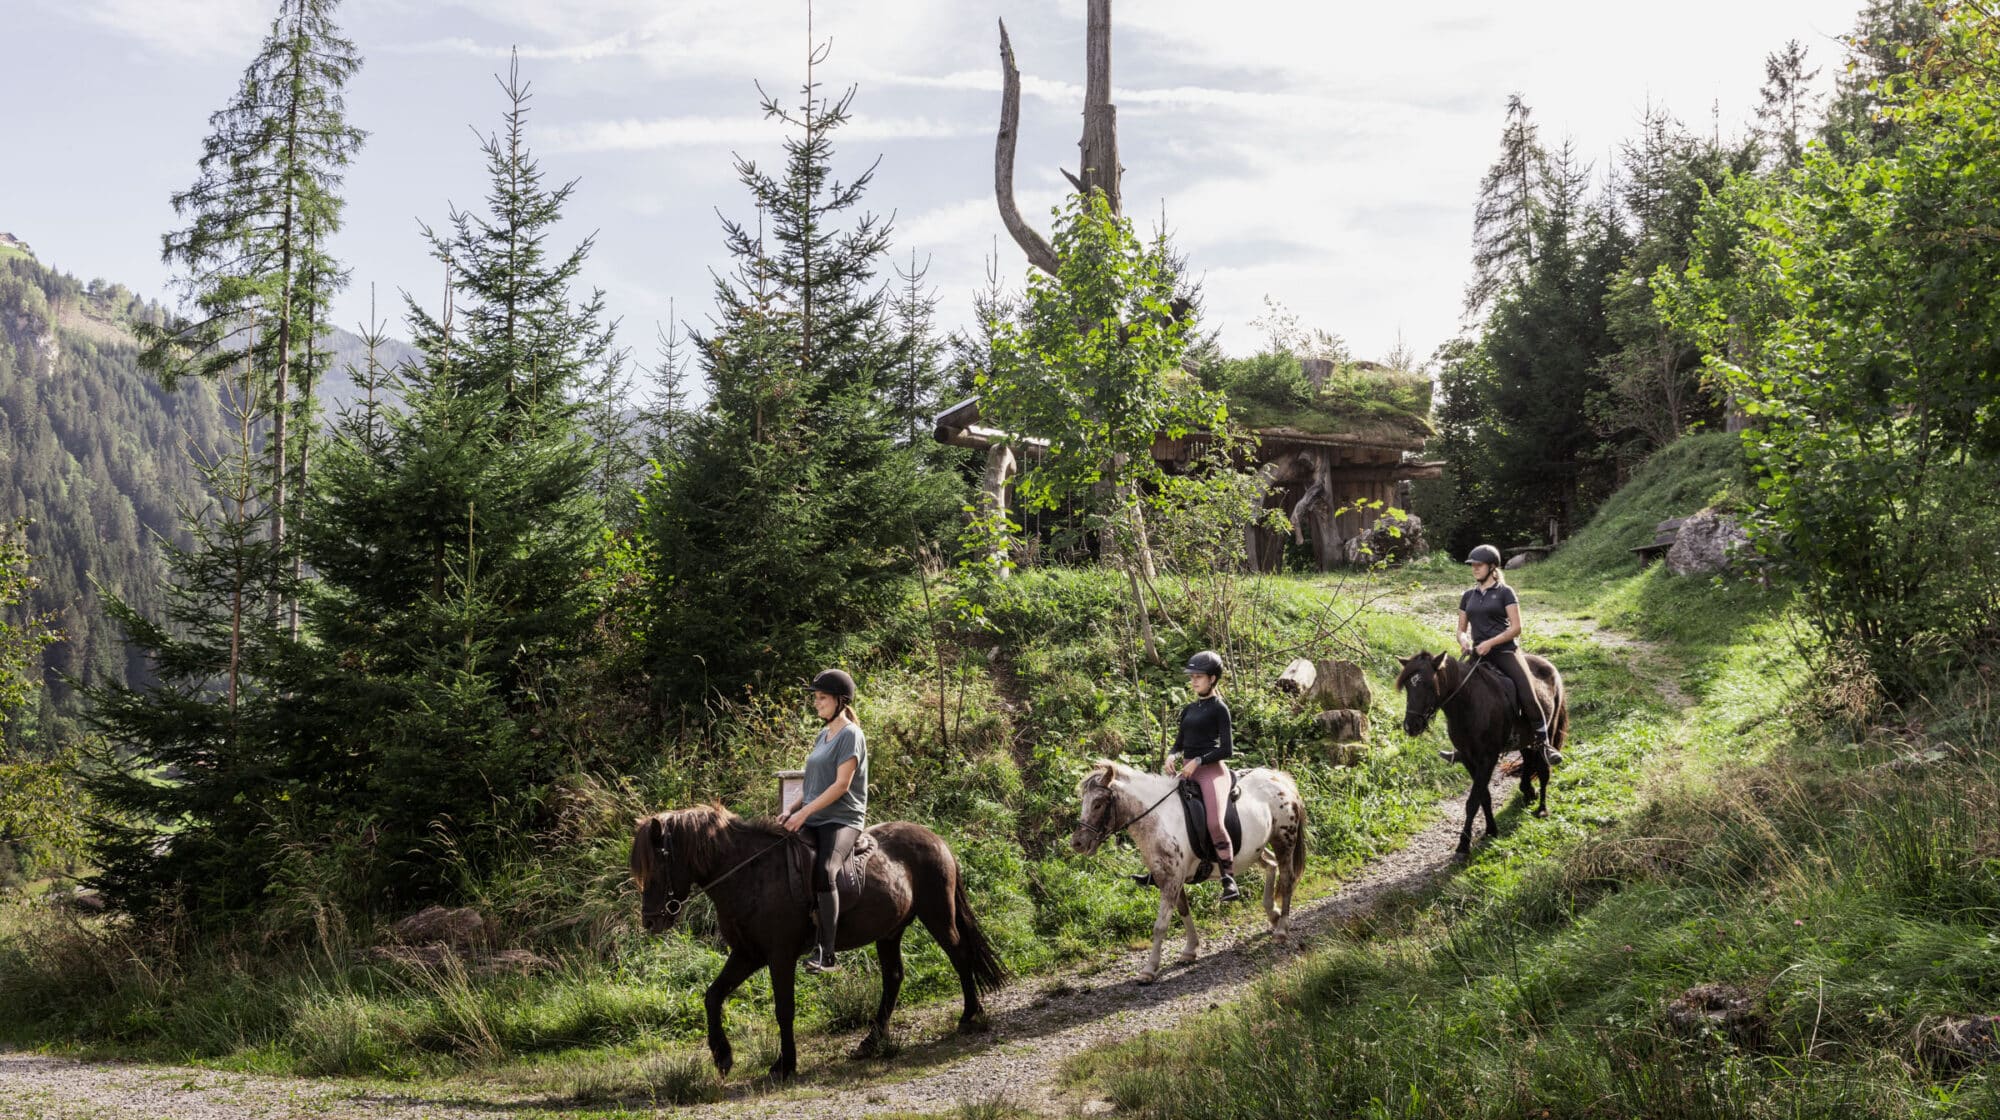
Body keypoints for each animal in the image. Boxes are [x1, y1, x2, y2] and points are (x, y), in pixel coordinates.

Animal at [624, 804, 1000, 1080]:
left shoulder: (779, 955)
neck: (749, 874)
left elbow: (784, 1008)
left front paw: (784, 1065)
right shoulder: (747, 954)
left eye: (656, 866)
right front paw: (722, 1057)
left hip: (937, 914)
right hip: (889, 931)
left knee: (959, 954)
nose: (651, 921)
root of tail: (936, 839)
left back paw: (970, 1015)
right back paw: (870, 1042)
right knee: (894, 977)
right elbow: (713, 995)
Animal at [1072, 756, 1304, 984]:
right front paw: (1190, 950)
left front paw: (1149, 969)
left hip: (1283, 840)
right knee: (1271, 864)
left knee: (1287, 879)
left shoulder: (1172, 880)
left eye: (1098, 804)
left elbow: (1160, 925)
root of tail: (1279, 778)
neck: (1159, 818)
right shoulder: (1169, 878)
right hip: (1254, 850)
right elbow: (1184, 912)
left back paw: (1281, 929)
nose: (1077, 843)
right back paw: (1272, 913)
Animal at [1392, 648, 1560, 856]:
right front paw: (1491, 830)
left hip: (1547, 729)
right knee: (1529, 761)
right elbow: (1483, 797)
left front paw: (1463, 845)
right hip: (1525, 741)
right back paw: (1528, 792)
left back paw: (1542, 808)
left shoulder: (1487, 759)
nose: (1411, 726)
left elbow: (1472, 802)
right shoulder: (1468, 759)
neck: (1469, 703)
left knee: (1544, 769)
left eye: (1429, 685)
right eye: (1408, 686)